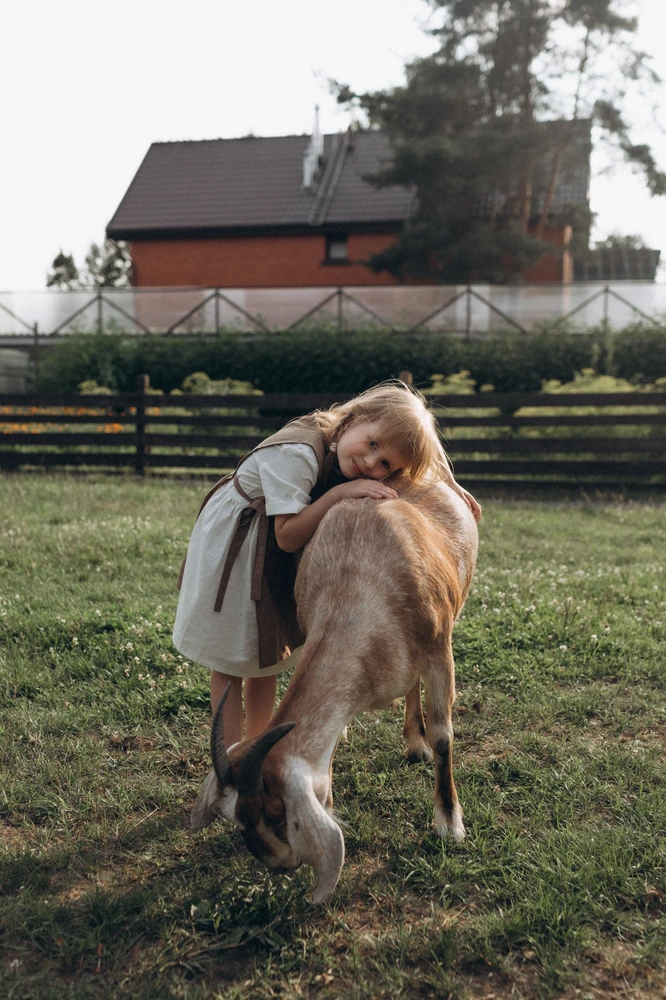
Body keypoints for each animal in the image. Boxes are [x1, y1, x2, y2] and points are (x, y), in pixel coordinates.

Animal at [192, 476, 478, 908]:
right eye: (234, 818)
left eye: (276, 813)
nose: (278, 864)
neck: (357, 570)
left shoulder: (439, 649)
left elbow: (444, 737)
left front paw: (449, 823)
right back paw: (414, 741)